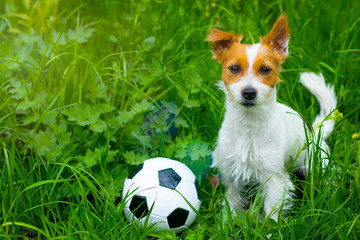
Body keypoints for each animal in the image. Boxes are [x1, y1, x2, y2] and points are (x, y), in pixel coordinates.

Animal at [207, 15, 336, 220]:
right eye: (234, 68)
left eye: (265, 70)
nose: (249, 92)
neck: (249, 125)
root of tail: (314, 132)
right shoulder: (232, 175)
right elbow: (232, 203)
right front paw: (227, 222)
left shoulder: (274, 179)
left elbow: (271, 214)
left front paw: (270, 227)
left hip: (319, 166)